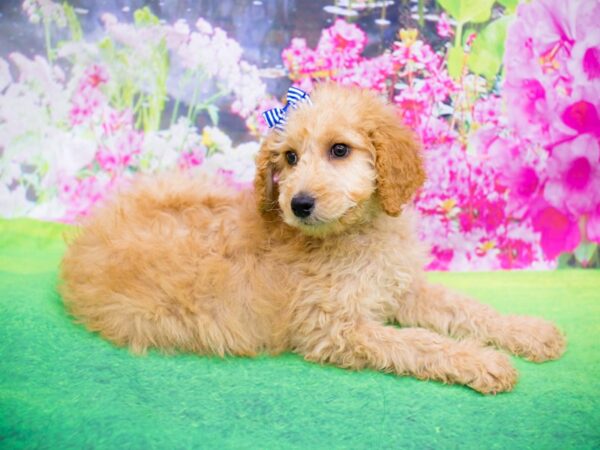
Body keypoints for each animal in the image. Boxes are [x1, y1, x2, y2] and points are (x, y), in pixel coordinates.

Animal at [61, 83, 568, 394]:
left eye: (339, 150)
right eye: (288, 157)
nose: (298, 203)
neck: (356, 233)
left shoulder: (402, 288)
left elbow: (468, 308)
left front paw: (530, 332)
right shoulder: (335, 328)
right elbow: (419, 343)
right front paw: (483, 362)